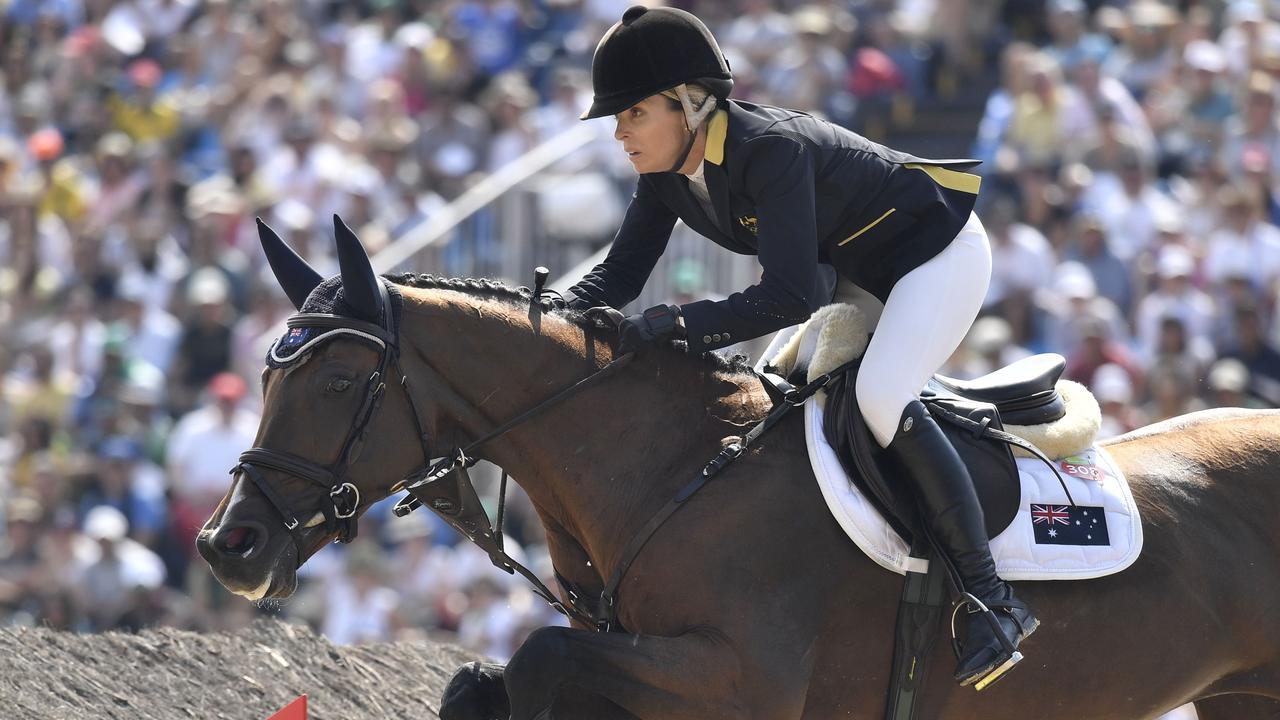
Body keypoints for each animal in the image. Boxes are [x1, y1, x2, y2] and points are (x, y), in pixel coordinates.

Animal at [197, 215, 1280, 712]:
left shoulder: (735, 680)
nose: (225, 545)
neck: (670, 471)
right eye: (267, 370)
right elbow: (483, 682)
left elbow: (538, 660)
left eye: (341, 382)